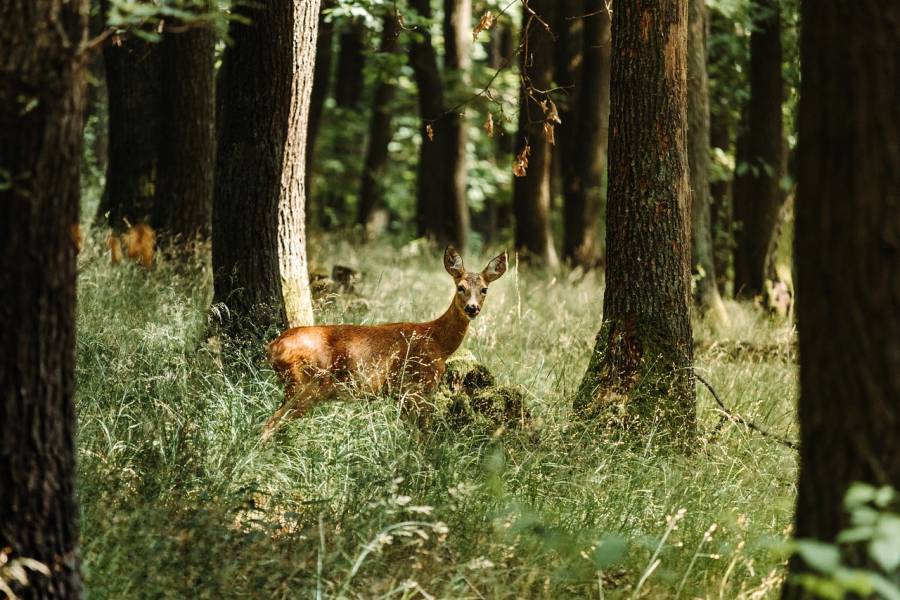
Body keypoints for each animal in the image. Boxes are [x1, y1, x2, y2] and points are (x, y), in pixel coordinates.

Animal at [260, 246, 510, 442]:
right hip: (306, 385)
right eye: (460, 287)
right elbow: (423, 436)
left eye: (484, 289)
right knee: (269, 424)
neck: (438, 342)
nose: (472, 308)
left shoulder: (403, 394)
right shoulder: (414, 387)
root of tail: (273, 347)